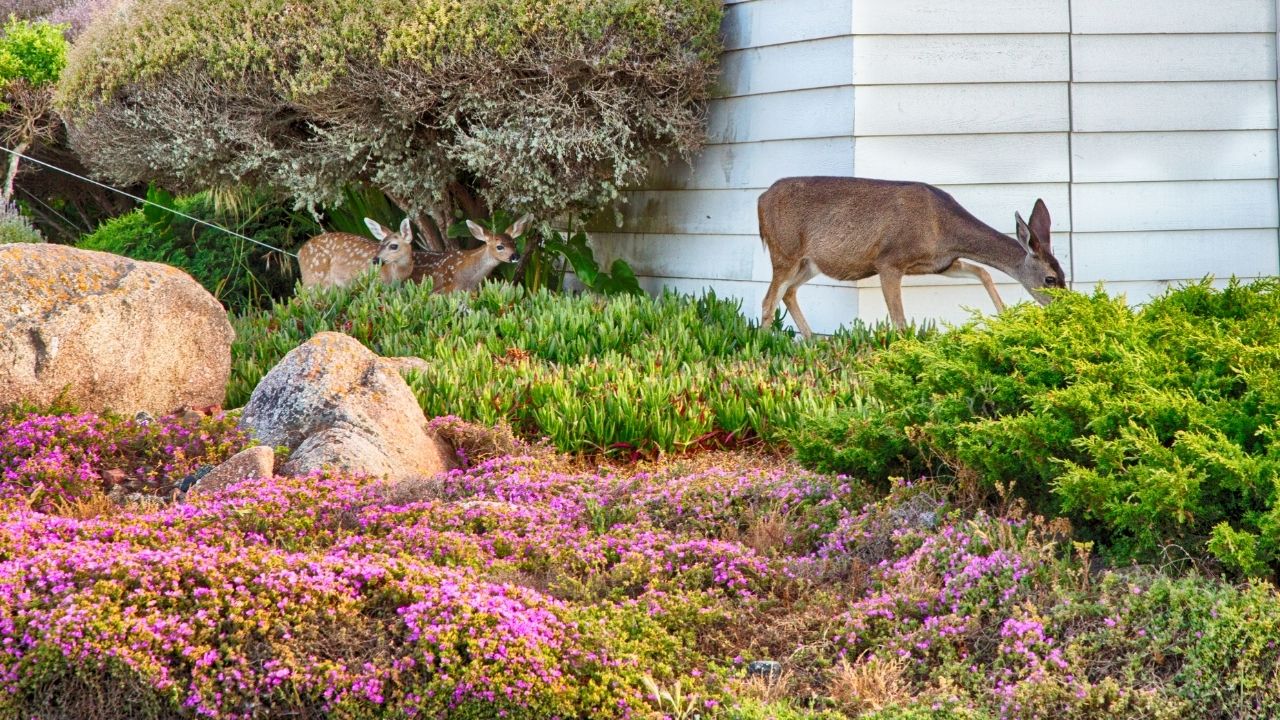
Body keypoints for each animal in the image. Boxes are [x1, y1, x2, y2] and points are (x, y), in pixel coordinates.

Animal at [758, 177, 1067, 337]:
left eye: (1065, 274)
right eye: (1050, 279)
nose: (1066, 307)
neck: (943, 227)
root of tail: (761, 199)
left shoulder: (941, 264)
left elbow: (983, 272)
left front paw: (1004, 317)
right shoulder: (889, 260)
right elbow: (899, 321)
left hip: (809, 263)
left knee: (788, 293)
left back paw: (812, 340)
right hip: (784, 251)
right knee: (768, 300)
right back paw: (764, 347)